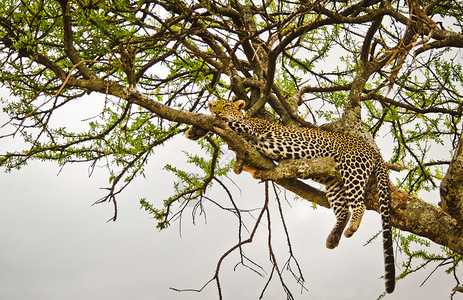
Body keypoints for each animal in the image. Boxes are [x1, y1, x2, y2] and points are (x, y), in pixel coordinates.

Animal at [187, 98, 396, 292]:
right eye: (215, 105)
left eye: (227, 105)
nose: (216, 110)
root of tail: (372, 149)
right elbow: (241, 158)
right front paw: (196, 132)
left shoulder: (252, 129)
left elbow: (229, 123)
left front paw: (207, 123)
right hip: (334, 183)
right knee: (344, 211)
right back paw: (334, 237)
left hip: (352, 169)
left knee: (359, 204)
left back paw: (351, 228)